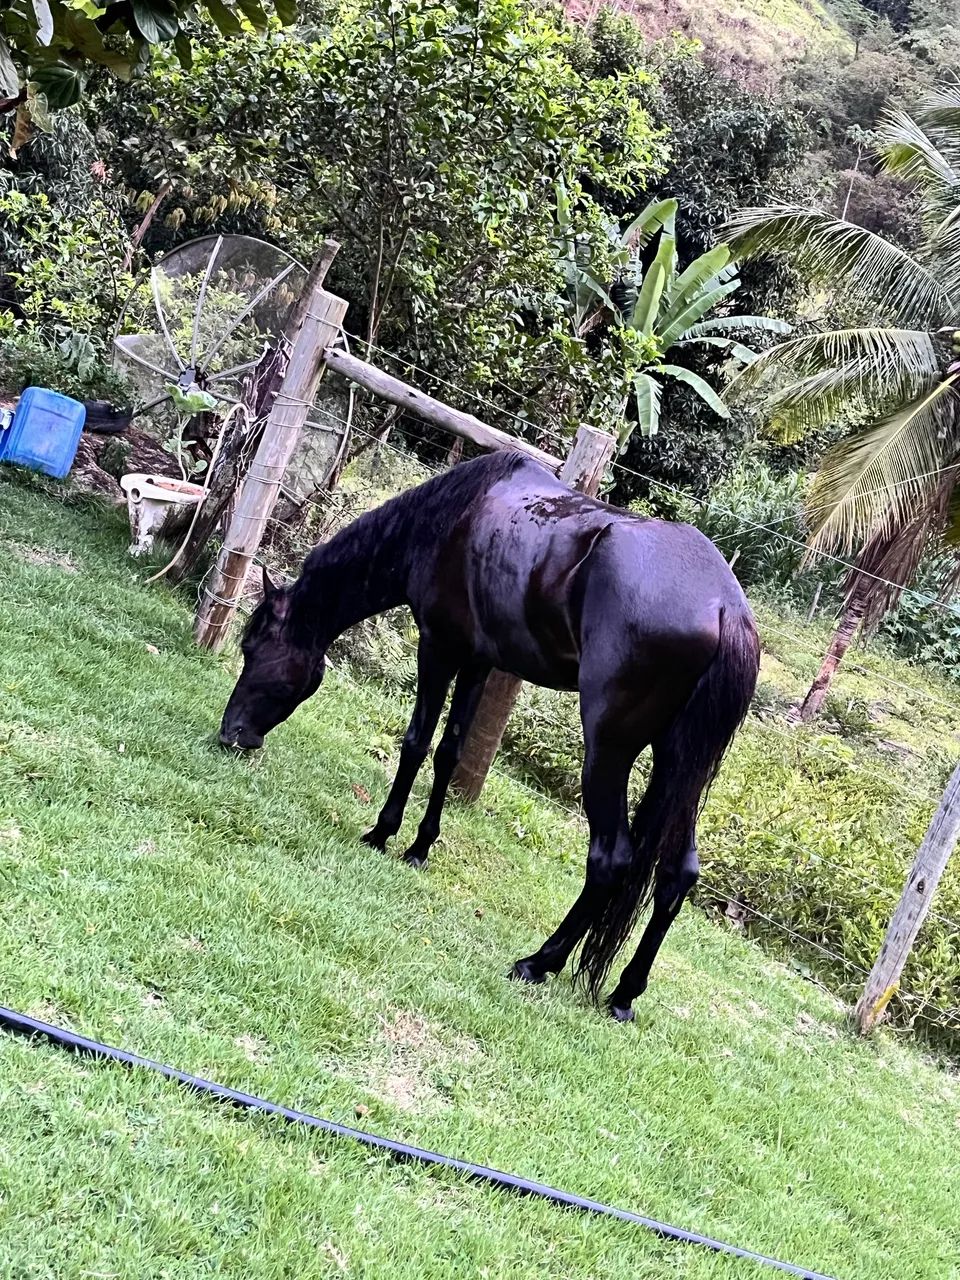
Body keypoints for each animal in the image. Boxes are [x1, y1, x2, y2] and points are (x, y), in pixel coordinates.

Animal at [219, 449, 759, 1021]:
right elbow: (449, 752)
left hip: (610, 751)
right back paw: (624, 993)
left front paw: (381, 834)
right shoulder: (478, 662)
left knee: (610, 860)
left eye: (253, 648)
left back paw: (538, 962)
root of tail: (725, 607)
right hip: (681, 763)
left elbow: (416, 742)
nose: (232, 734)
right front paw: (419, 847)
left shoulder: (439, 647)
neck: (452, 517)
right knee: (678, 875)